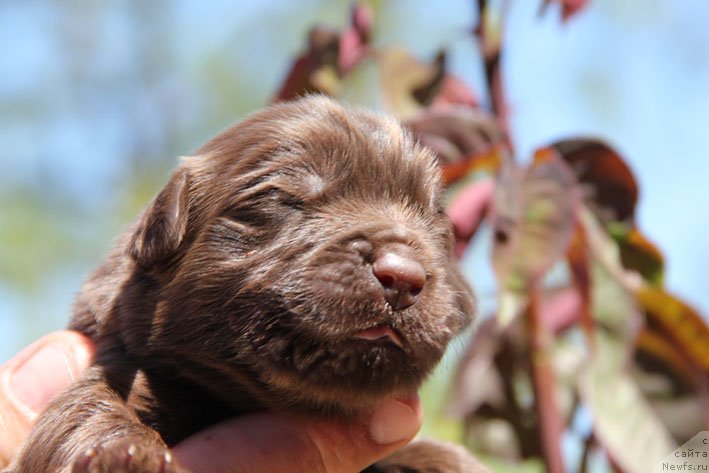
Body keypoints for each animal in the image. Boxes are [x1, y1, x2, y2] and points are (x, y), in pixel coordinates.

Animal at [4, 97, 482, 472]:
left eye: (437, 225)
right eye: (283, 198)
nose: (403, 275)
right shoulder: (120, 365)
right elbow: (84, 410)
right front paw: (125, 454)